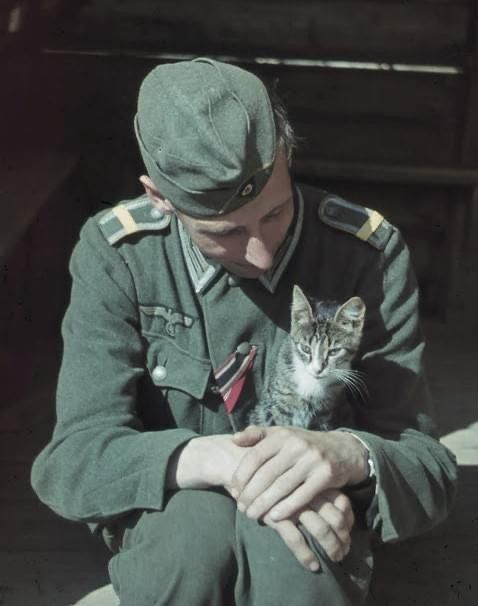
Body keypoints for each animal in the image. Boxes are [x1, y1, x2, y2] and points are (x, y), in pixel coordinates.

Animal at [250, 285, 366, 430]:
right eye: (305, 349)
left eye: (334, 351)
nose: (317, 369)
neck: (312, 382)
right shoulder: (276, 406)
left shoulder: (325, 415)